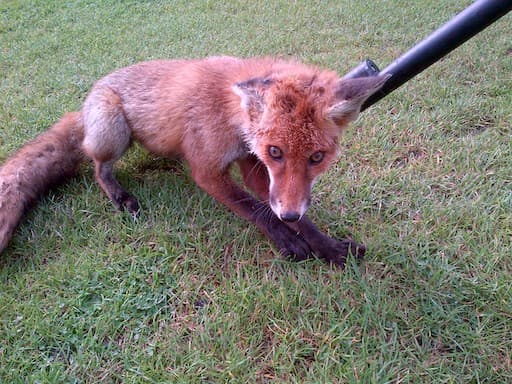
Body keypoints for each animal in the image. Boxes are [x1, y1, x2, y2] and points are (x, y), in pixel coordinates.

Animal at [0, 57, 386, 268]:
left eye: (317, 157)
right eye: (276, 151)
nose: (289, 215)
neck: (231, 117)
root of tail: (83, 105)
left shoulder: (254, 164)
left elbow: (284, 210)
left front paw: (328, 247)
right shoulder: (207, 170)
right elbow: (254, 208)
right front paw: (287, 240)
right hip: (113, 130)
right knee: (97, 166)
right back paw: (118, 195)